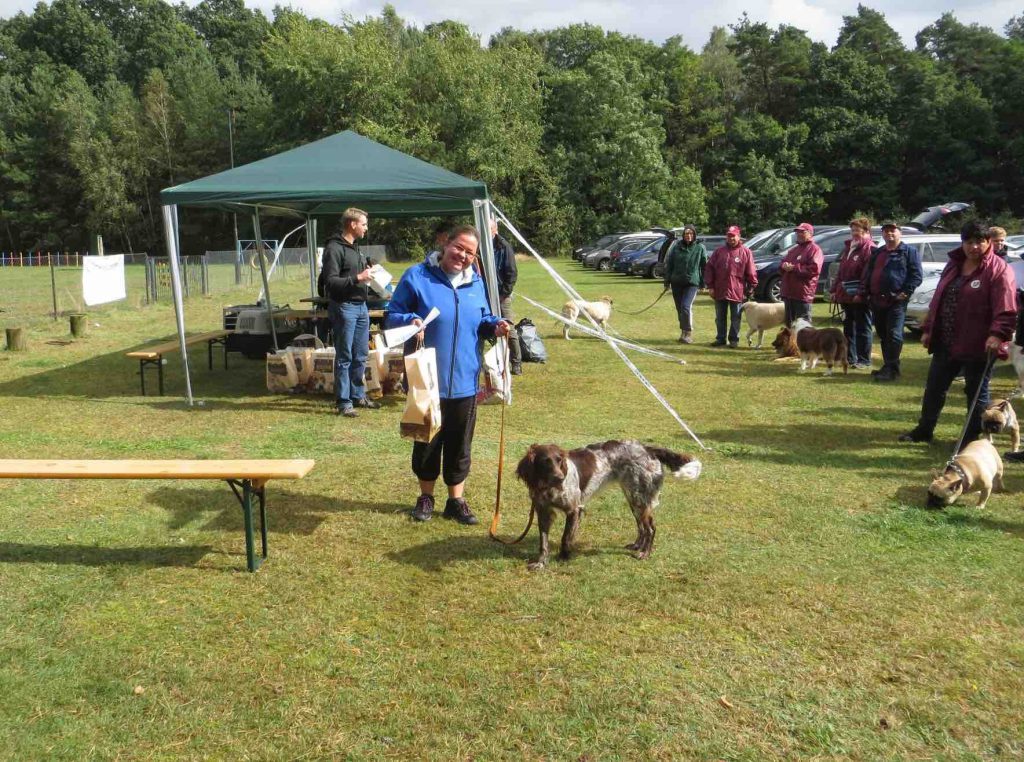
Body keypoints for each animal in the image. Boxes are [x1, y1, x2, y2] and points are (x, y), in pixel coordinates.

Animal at [515, 440, 701, 570]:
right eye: (546, 461)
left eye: (559, 460)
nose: (561, 478)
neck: (546, 488)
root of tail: (647, 448)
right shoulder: (543, 512)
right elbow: (543, 543)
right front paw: (541, 563)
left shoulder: (574, 510)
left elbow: (565, 538)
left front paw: (563, 558)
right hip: (633, 498)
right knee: (641, 526)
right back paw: (637, 546)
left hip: (639, 498)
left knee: (650, 528)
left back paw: (644, 553)